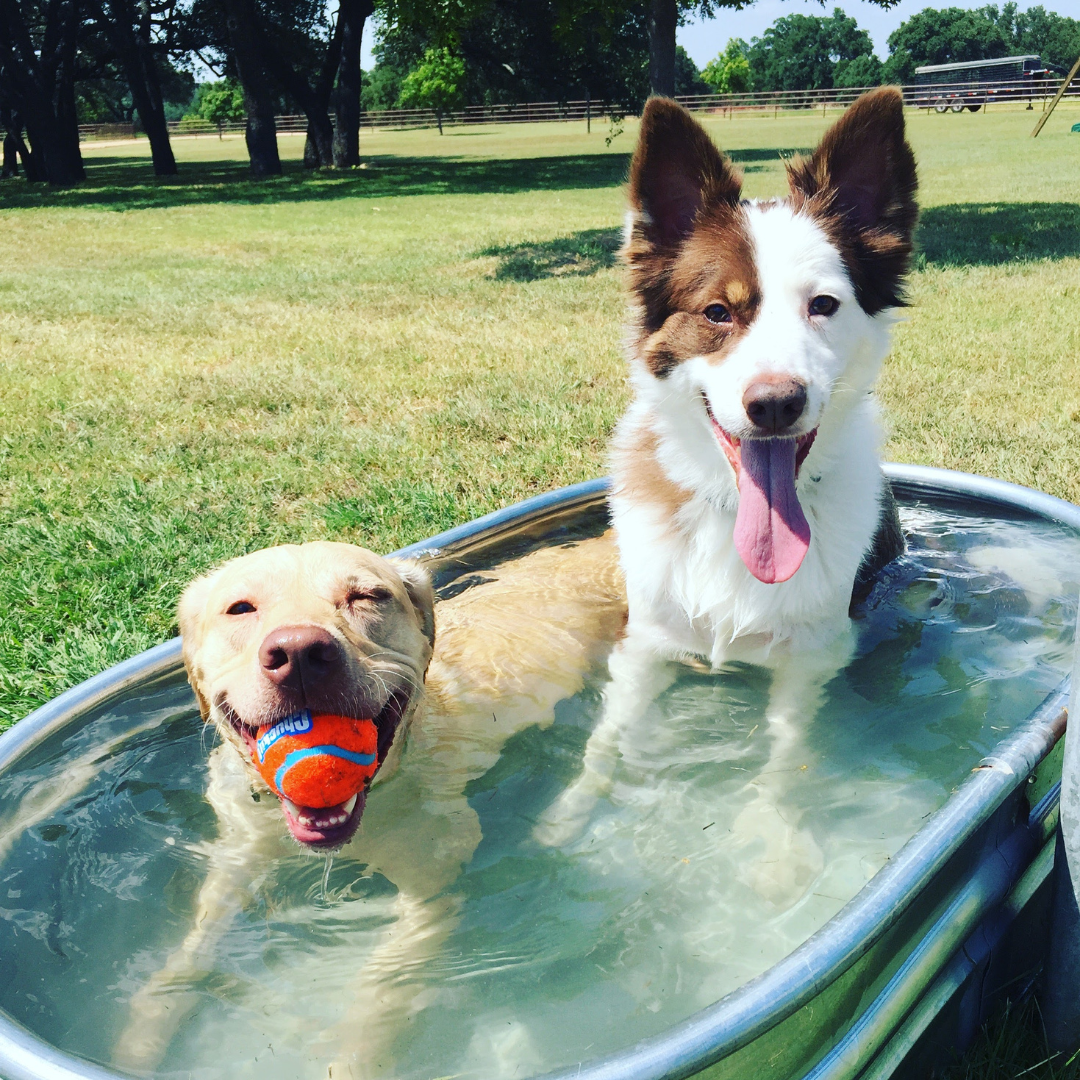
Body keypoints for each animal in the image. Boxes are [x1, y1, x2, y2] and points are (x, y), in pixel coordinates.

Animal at [110, 535, 626, 1075]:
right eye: (241, 608)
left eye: (368, 597)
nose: (299, 652)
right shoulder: (236, 853)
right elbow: (190, 950)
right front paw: (142, 1034)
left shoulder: (430, 896)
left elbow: (376, 1002)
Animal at [535, 88, 915, 902]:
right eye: (717, 312)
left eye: (824, 305)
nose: (774, 404)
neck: (734, 516)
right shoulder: (646, 639)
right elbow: (605, 739)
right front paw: (568, 813)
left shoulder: (813, 654)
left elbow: (785, 755)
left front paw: (773, 841)